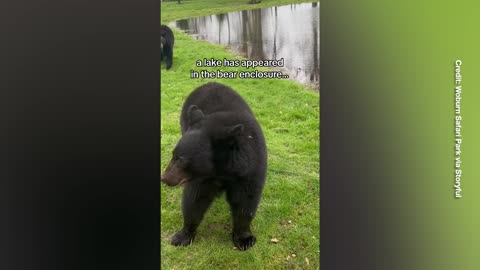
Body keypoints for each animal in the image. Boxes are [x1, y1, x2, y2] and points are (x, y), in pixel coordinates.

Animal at [160, 81, 266, 251]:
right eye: (173, 154)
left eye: (181, 159)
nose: (164, 178)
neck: (222, 170)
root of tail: (209, 83)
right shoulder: (201, 177)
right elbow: (194, 200)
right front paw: (183, 236)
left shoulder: (250, 170)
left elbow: (246, 200)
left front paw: (244, 239)